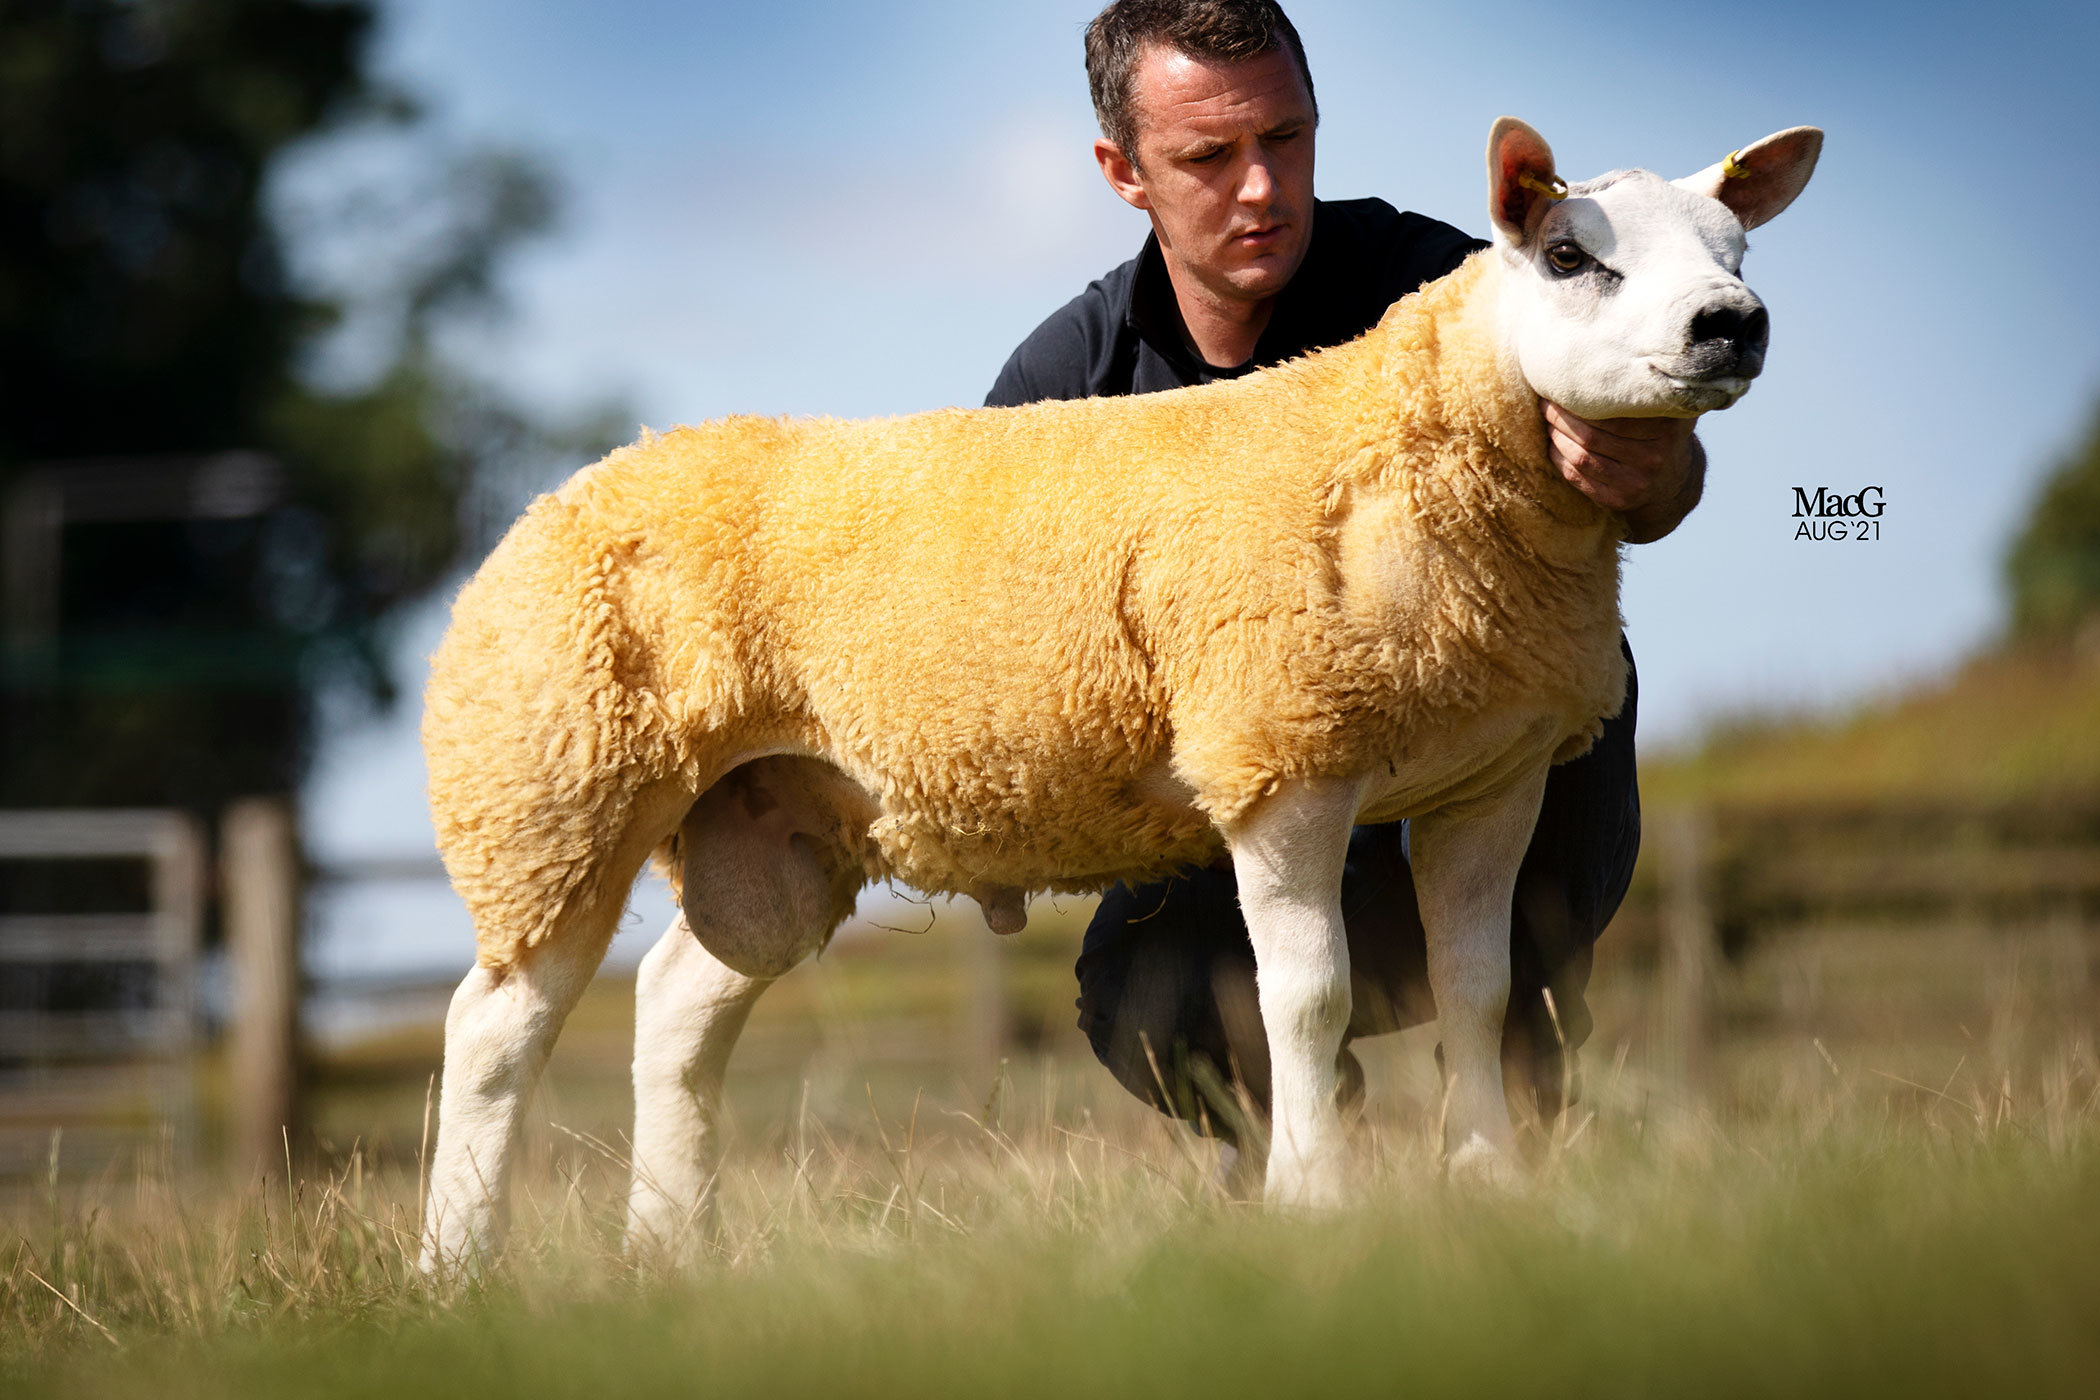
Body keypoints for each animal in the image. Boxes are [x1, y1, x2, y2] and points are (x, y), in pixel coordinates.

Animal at [413, 114, 1822, 1267]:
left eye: (1741, 247)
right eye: (1572, 257)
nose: (1730, 325)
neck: (1406, 445)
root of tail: (560, 495)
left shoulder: (1493, 768)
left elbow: (1478, 985)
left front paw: (1488, 1186)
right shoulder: (1280, 746)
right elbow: (1307, 998)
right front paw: (1317, 1201)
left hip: (774, 820)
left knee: (674, 1009)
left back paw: (672, 1252)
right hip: (552, 780)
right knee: (494, 1030)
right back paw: (457, 1269)